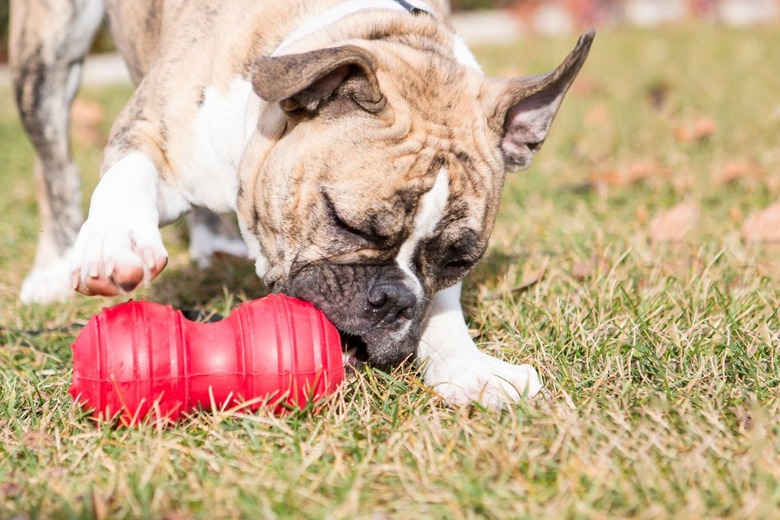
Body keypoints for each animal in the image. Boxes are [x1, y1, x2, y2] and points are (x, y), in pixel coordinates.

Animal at [9, 0, 596, 406]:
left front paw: (467, 365)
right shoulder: (154, 130)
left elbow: (443, 307)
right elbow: (127, 174)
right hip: (50, 56)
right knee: (52, 160)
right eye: (347, 223)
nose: (395, 301)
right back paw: (52, 267)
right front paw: (117, 243)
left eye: (458, 262)